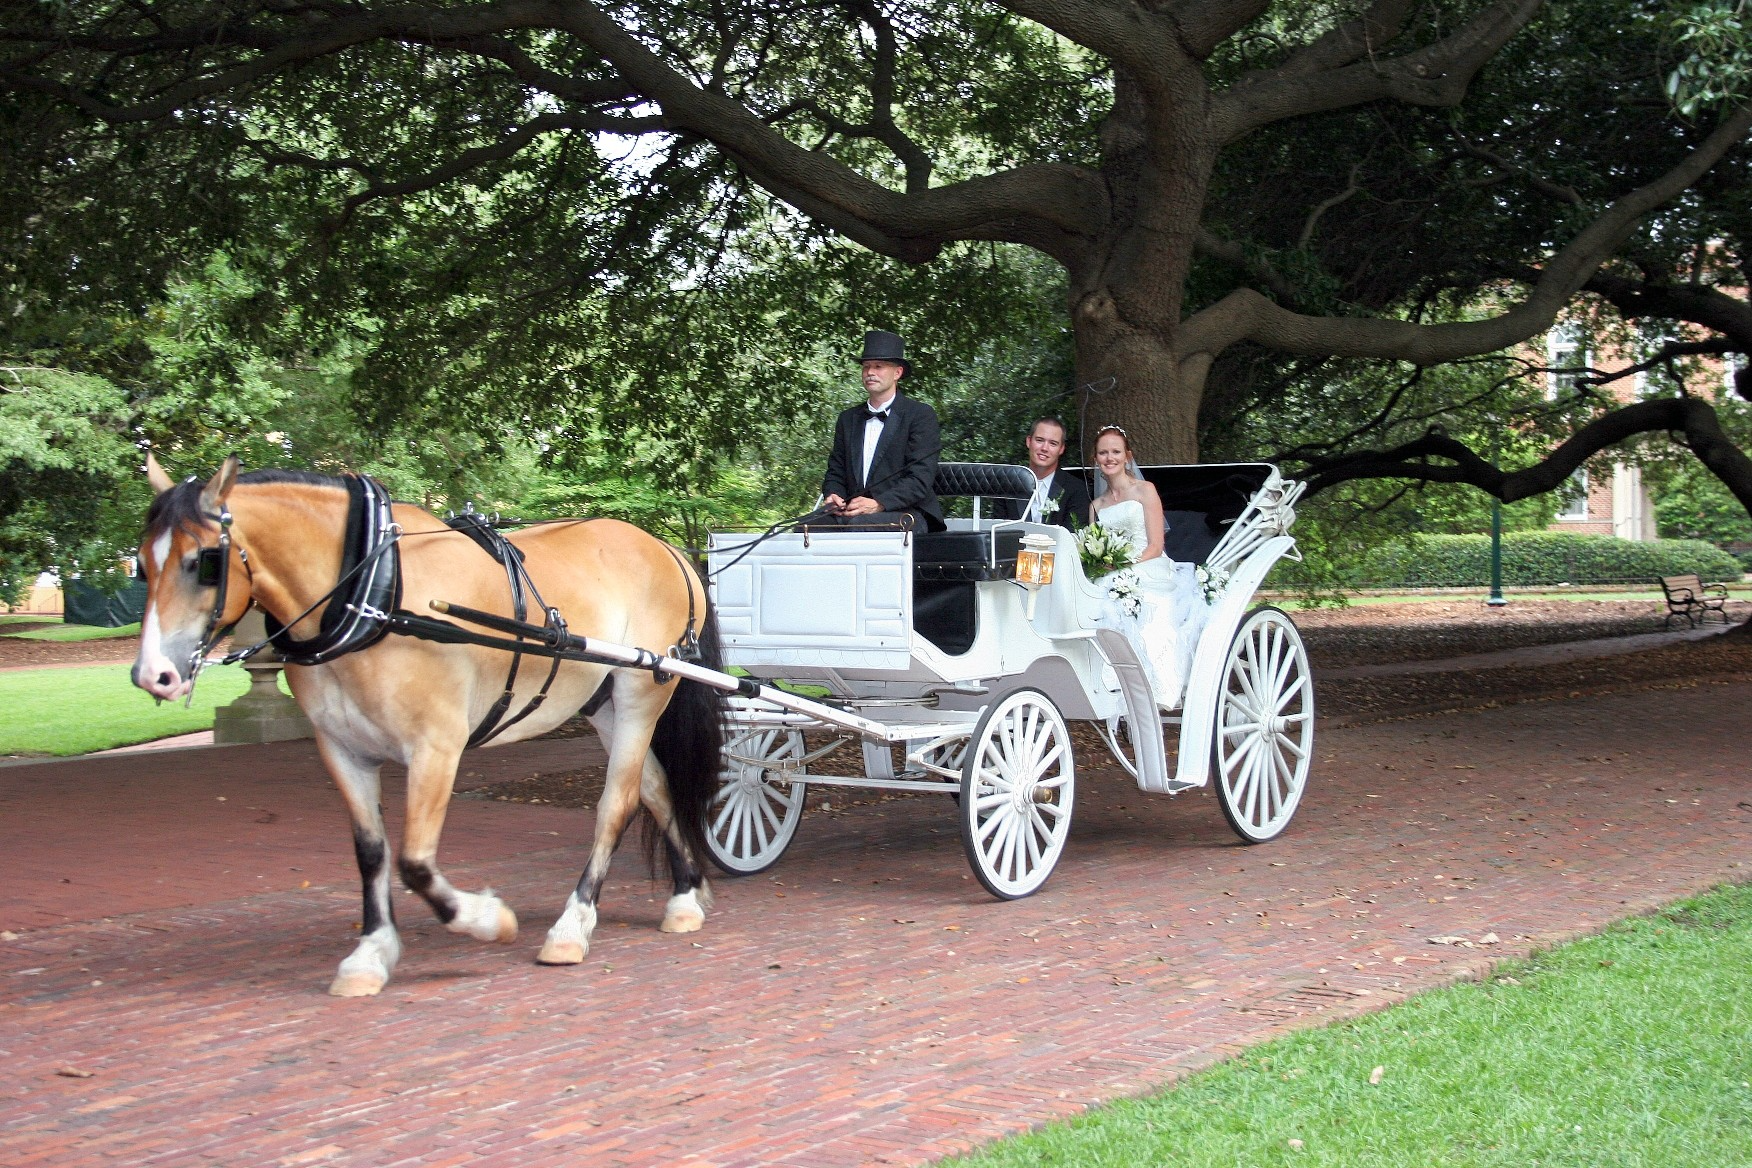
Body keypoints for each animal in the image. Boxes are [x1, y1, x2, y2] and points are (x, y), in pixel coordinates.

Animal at [133, 455, 725, 994]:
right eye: (141, 563)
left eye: (204, 560)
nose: (153, 675)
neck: (376, 596)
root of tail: (668, 550)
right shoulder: (341, 749)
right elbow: (372, 852)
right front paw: (371, 952)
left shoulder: (436, 746)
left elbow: (415, 862)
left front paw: (488, 920)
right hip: (602, 702)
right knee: (654, 788)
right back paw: (685, 896)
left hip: (641, 692)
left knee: (616, 804)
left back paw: (572, 925)